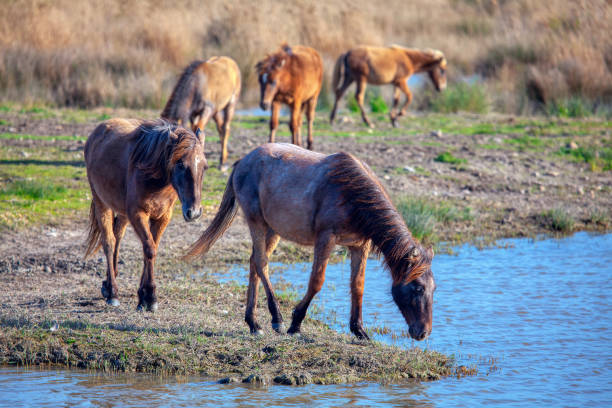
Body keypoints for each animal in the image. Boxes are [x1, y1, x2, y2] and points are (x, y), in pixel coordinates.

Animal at [83, 119, 209, 310]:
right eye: (180, 164)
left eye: (204, 167)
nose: (193, 212)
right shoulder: (138, 214)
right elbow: (149, 249)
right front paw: (150, 297)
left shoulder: (163, 217)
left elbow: (151, 248)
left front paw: (143, 295)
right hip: (101, 203)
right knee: (109, 242)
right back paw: (112, 292)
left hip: (122, 212)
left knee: (117, 237)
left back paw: (108, 284)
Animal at [186, 143, 436, 342]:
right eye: (418, 287)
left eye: (433, 288)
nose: (422, 333)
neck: (352, 194)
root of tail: (242, 162)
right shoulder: (326, 239)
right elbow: (317, 281)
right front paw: (295, 324)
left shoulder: (359, 246)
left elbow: (358, 285)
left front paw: (359, 331)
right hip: (256, 221)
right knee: (261, 262)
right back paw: (276, 319)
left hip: (273, 229)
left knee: (253, 263)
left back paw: (253, 323)